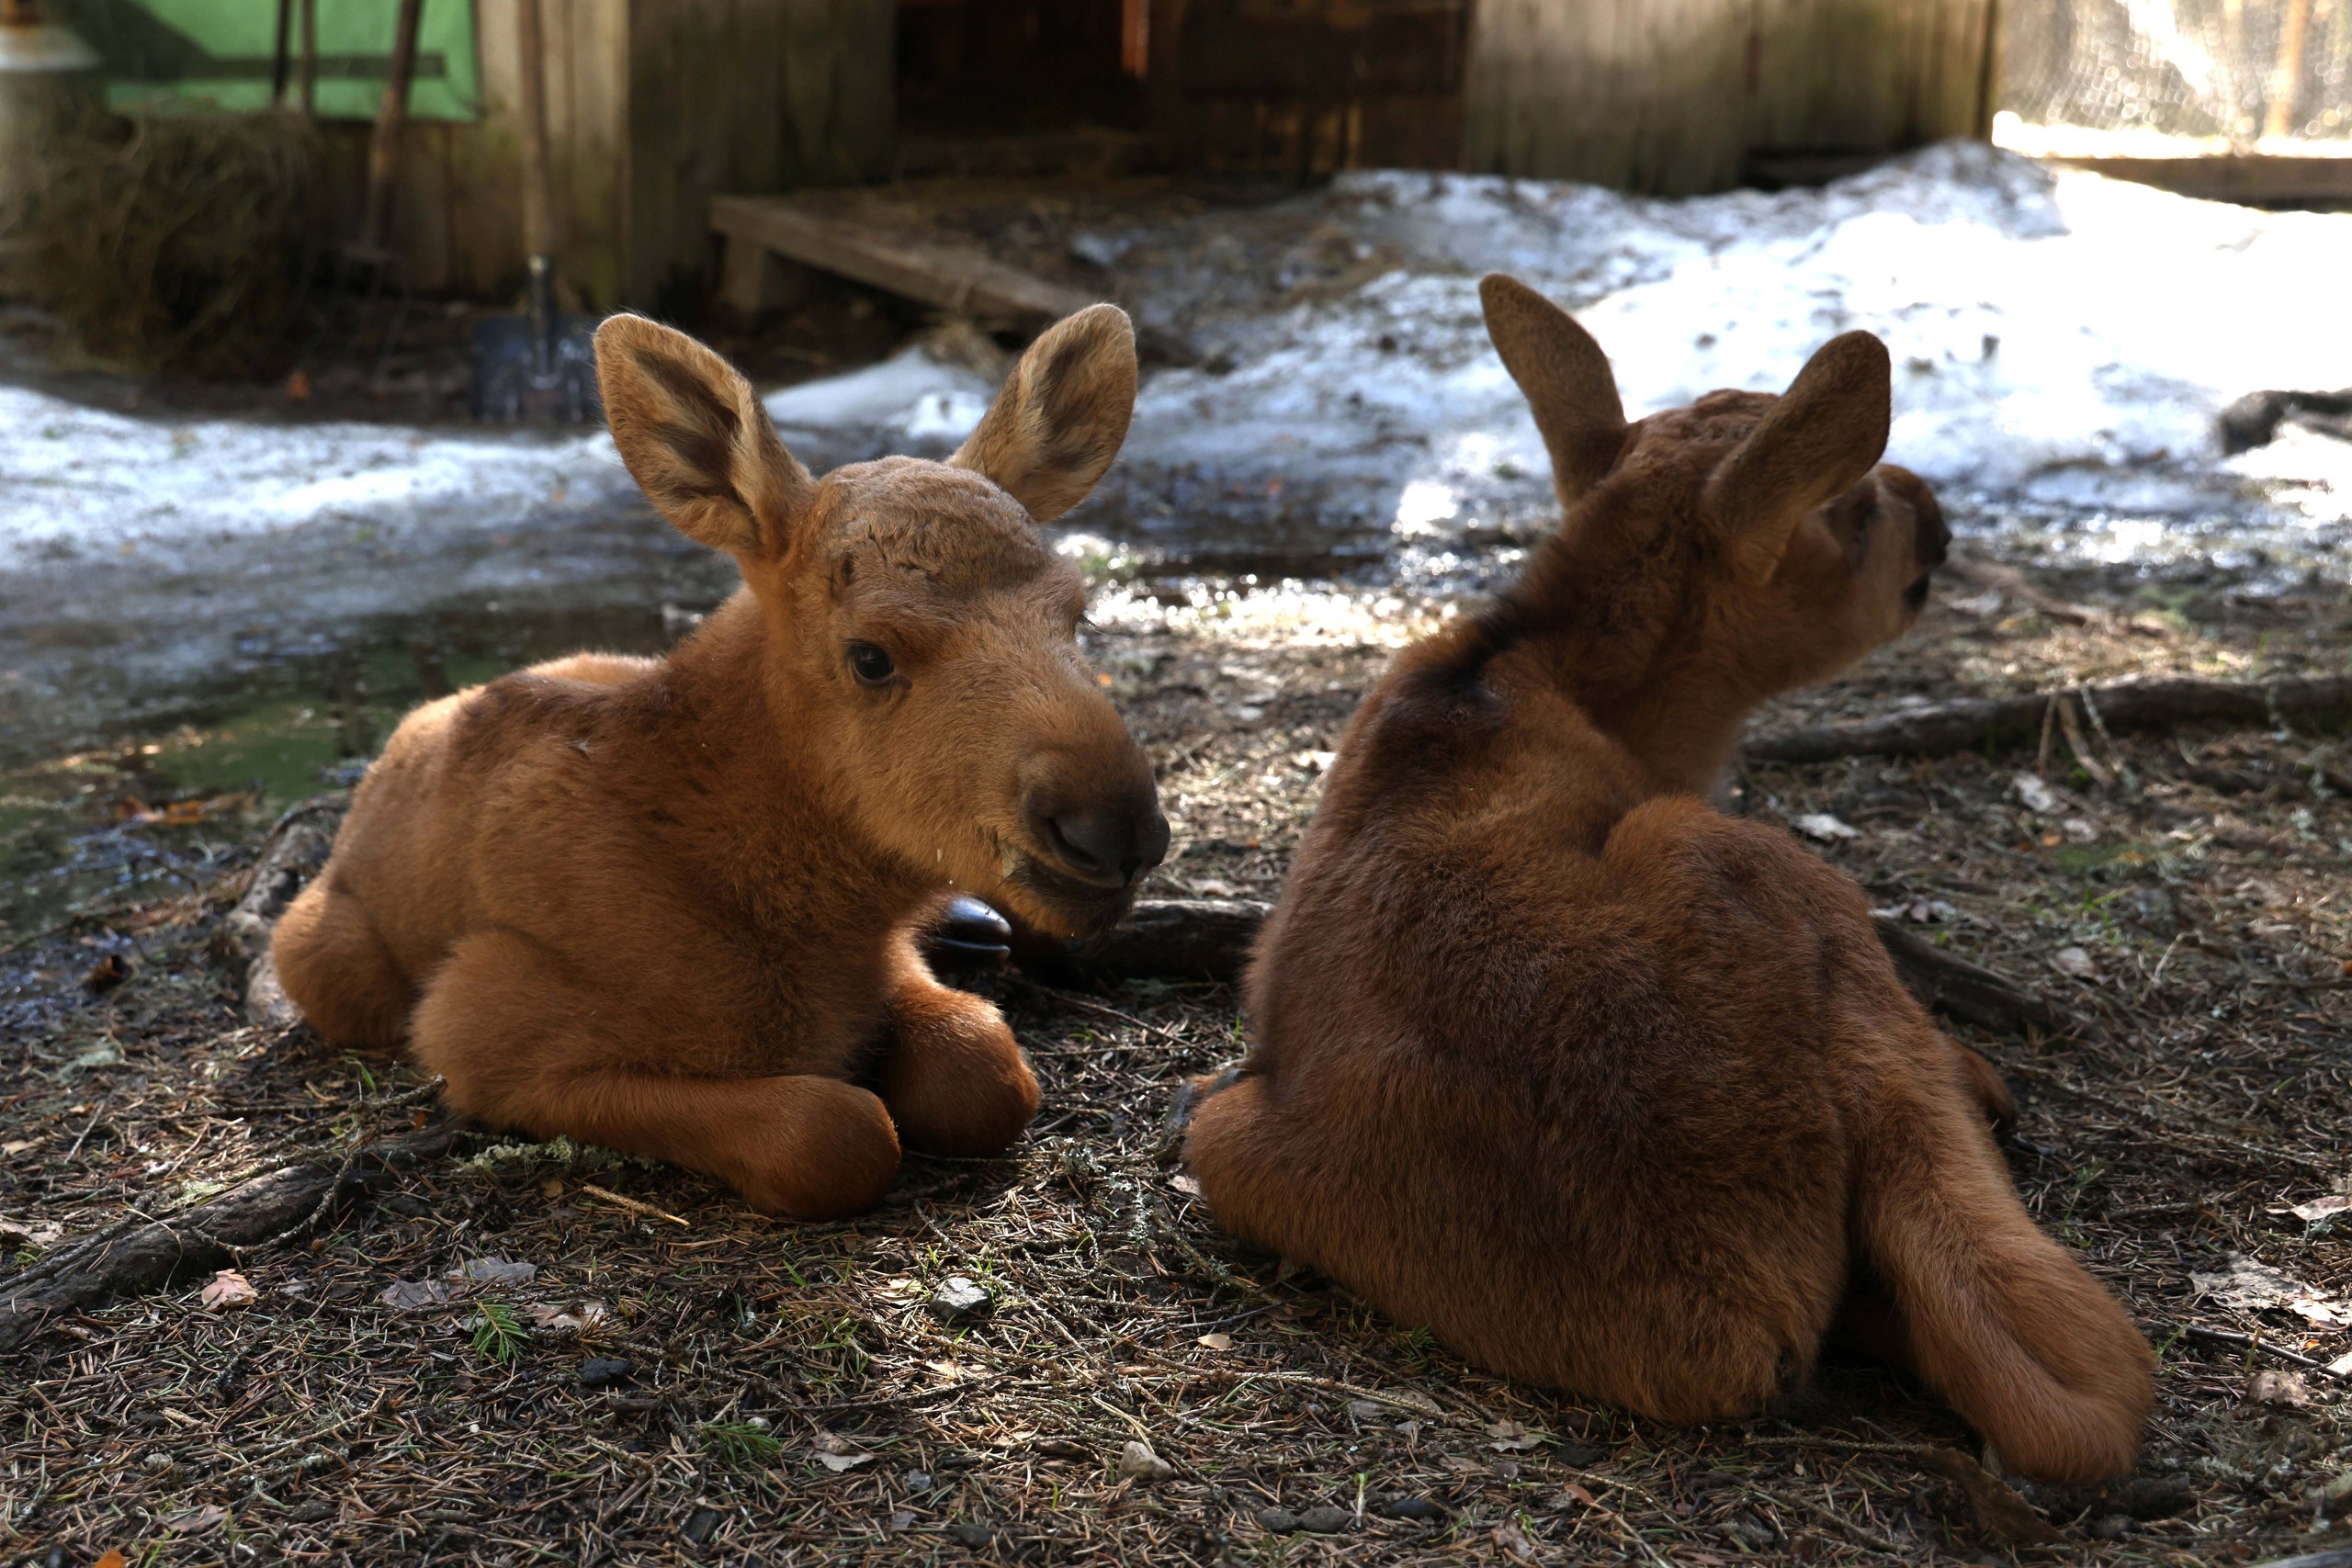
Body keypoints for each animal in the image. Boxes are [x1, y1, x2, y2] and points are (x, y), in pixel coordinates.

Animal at [270, 303, 1170, 1213]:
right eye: (870, 657)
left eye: (1078, 614)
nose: (1113, 830)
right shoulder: (475, 1024)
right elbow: (835, 1133)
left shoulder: (888, 963)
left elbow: (987, 1072)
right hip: (325, 959)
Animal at [1185, 272, 2154, 1485]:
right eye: (1857, 509)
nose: (1936, 510)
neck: (1586, 686)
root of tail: (1723, 1323)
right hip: (1753, 860)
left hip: (1220, 1134)